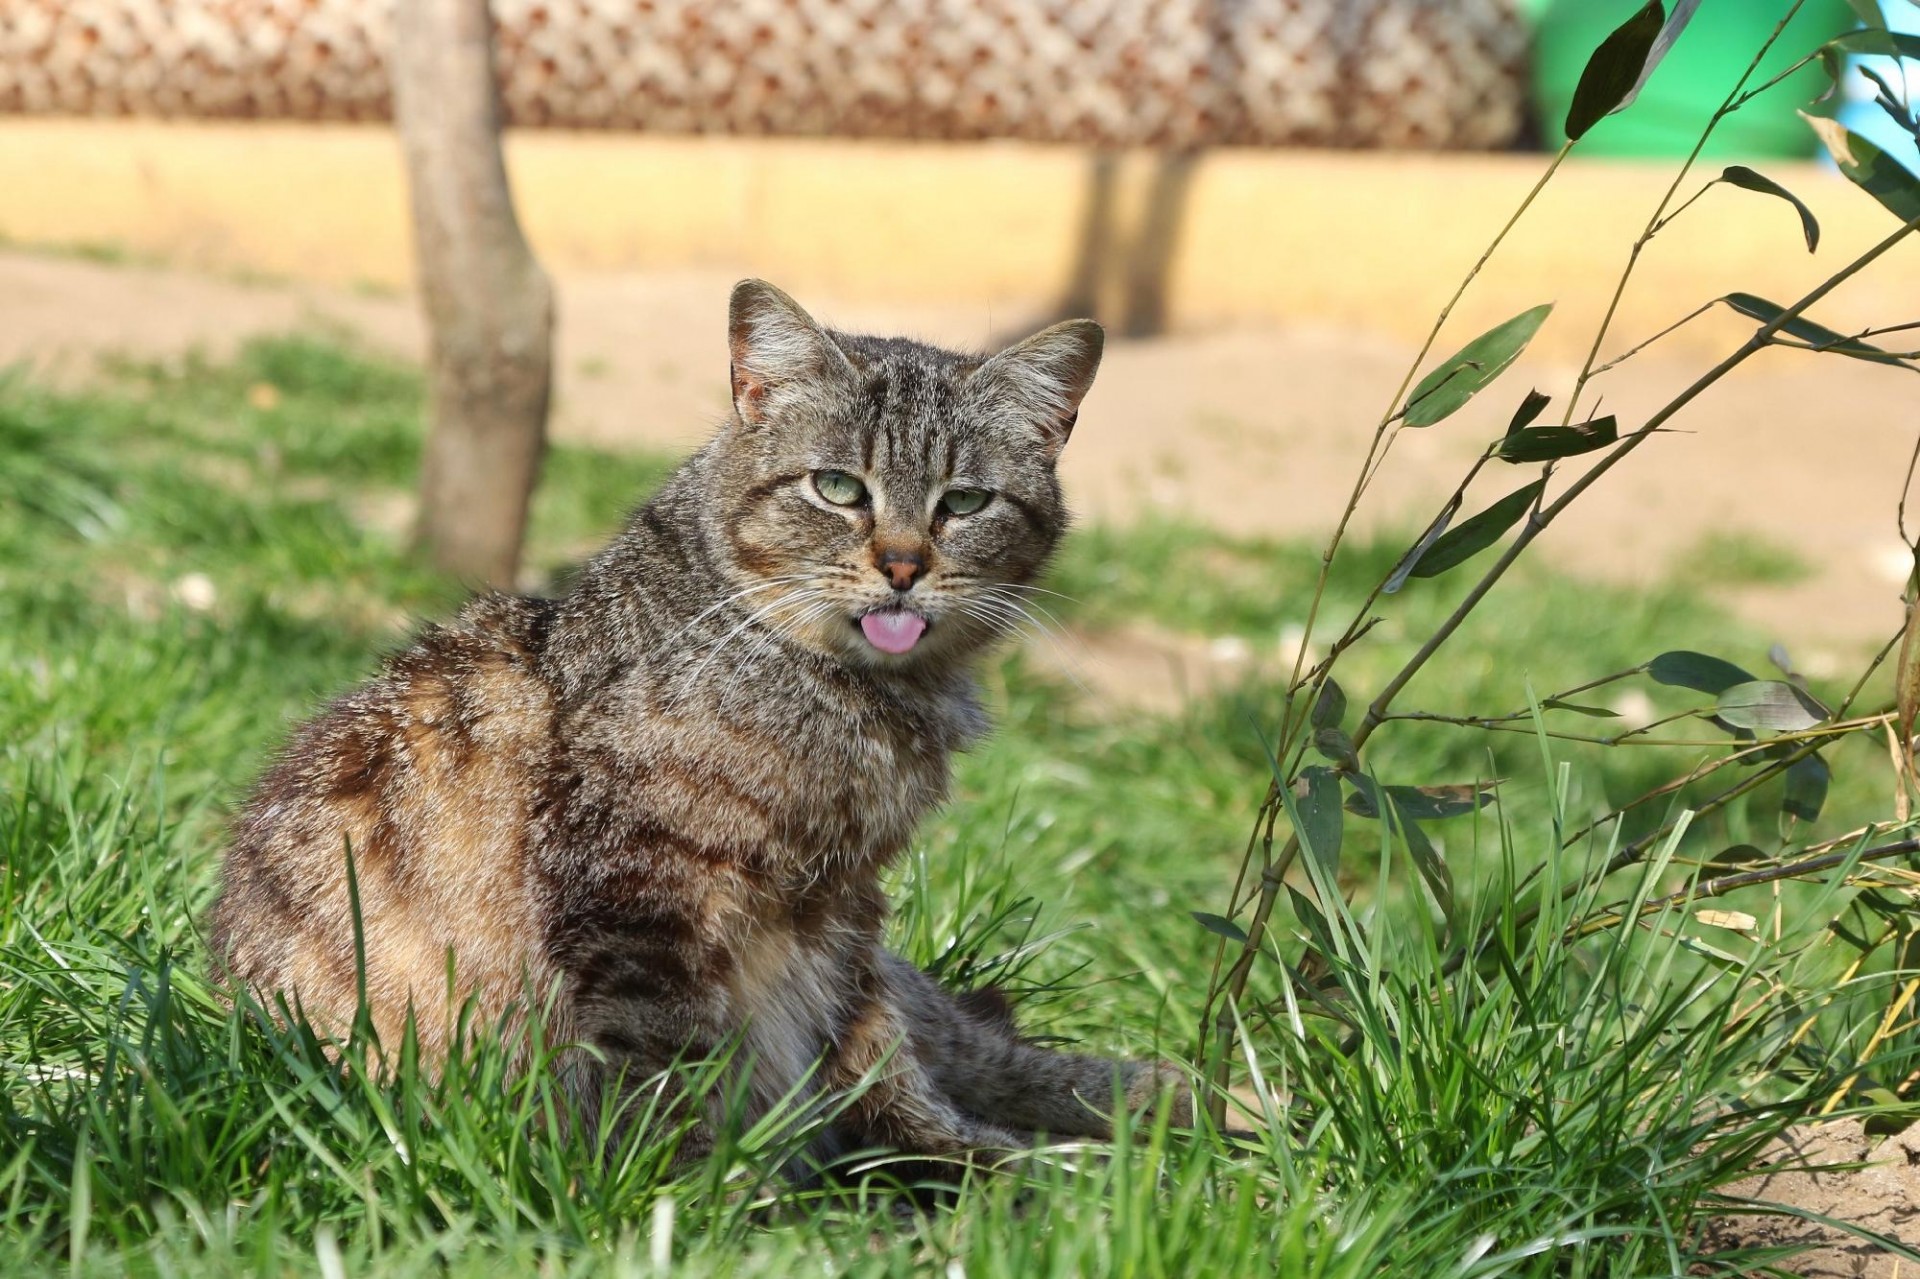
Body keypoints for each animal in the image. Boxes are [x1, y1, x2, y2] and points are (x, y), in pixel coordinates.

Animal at [217, 278, 1190, 1167]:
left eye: (964, 503)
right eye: (838, 487)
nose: (904, 564)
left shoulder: (845, 910)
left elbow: (881, 1068)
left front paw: (974, 1170)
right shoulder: (644, 902)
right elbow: (674, 1075)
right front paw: (712, 1191)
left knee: (975, 1044)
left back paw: (1170, 1105)